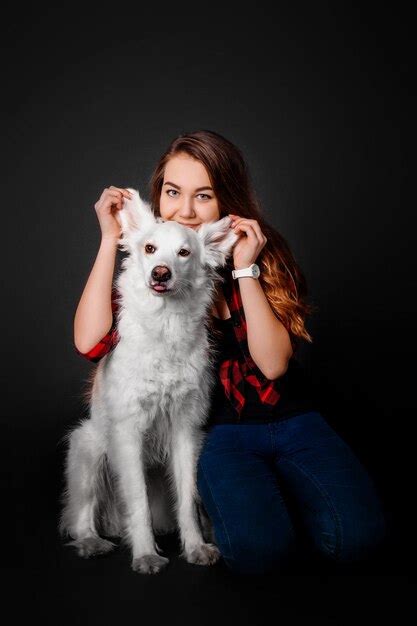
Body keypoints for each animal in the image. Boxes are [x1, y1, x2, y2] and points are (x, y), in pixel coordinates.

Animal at [60, 188, 239, 572]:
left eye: (184, 253)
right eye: (150, 249)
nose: (161, 273)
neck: (165, 323)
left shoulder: (186, 430)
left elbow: (187, 500)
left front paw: (195, 547)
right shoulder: (128, 432)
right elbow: (138, 503)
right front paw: (145, 554)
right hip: (87, 448)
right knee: (80, 514)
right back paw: (92, 541)